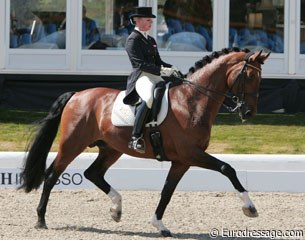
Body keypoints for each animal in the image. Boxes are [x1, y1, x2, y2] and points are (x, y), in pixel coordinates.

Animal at [20, 47, 270, 237]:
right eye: (249, 77)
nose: (248, 112)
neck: (192, 101)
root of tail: (77, 95)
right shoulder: (191, 153)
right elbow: (227, 168)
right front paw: (250, 208)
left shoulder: (182, 161)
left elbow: (167, 191)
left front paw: (159, 225)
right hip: (72, 144)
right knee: (52, 174)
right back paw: (41, 219)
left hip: (111, 149)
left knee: (93, 173)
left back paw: (116, 209)